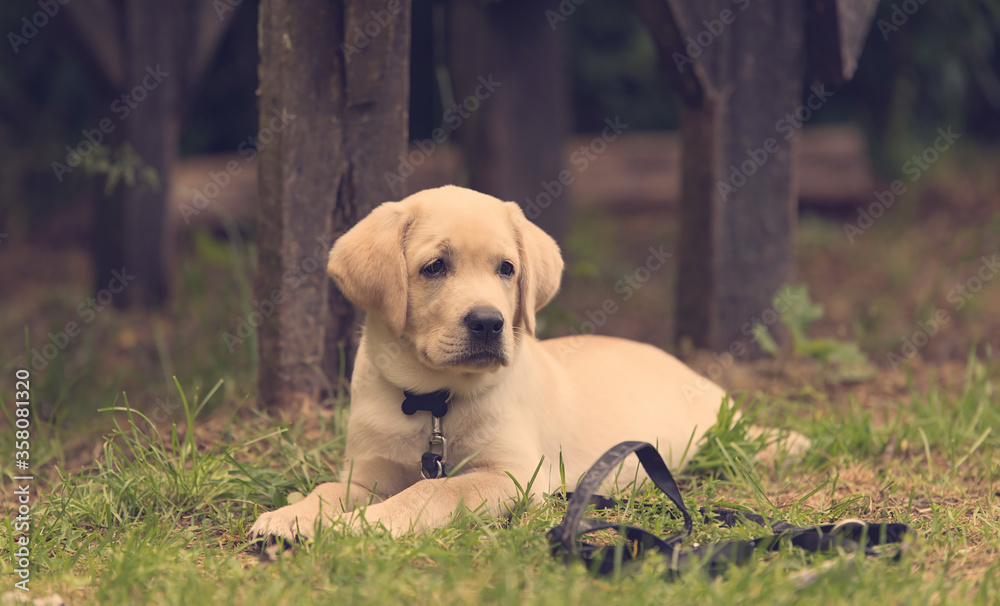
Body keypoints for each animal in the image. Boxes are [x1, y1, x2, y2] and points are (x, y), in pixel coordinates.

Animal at [254, 184, 800, 540]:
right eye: (434, 267)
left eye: (507, 269)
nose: (488, 323)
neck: (433, 399)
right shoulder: (368, 468)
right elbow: (329, 486)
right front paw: (295, 515)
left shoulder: (511, 476)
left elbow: (432, 493)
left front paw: (363, 524)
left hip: (711, 433)